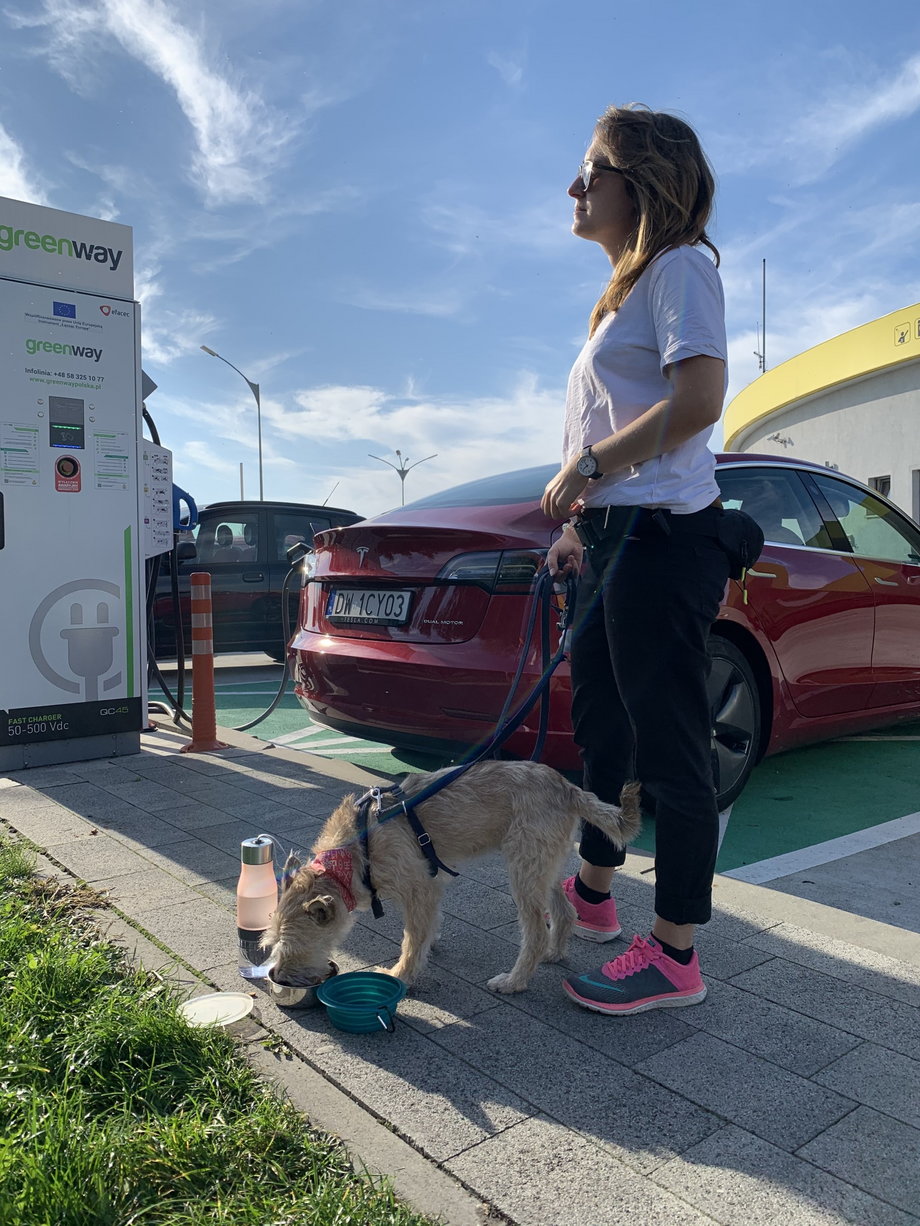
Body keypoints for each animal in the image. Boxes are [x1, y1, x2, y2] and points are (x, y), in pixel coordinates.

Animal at [261, 760, 642, 990]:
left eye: (292, 947)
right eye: (270, 945)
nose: (276, 977)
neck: (354, 850)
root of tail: (566, 787)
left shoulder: (419, 890)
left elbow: (412, 938)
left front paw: (402, 975)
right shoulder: (432, 885)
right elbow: (426, 929)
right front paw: (431, 944)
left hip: (524, 869)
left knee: (534, 930)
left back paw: (515, 981)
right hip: (543, 868)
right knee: (564, 910)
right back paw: (553, 952)